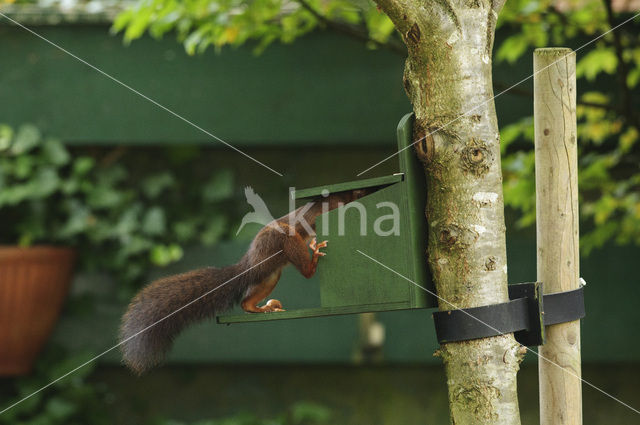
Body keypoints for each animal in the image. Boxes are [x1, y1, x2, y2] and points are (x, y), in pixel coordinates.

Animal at [119, 187, 370, 372]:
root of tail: (250, 263)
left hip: (270, 276)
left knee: (245, 303)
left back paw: (261, 308)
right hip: (282, 240)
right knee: (305, 269)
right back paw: (314, 258)